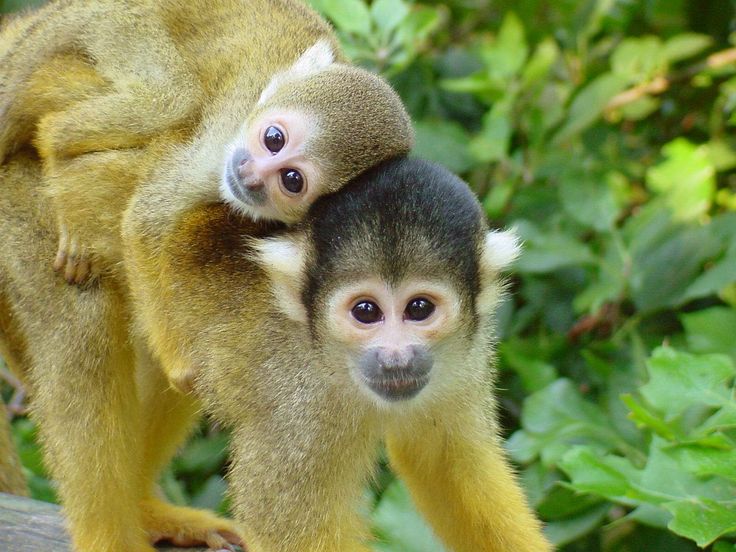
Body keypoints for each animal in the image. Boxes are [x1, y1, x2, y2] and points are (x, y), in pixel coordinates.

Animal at [0, 0, 414, 284]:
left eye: (292, 180)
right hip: (123, 24)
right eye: (273, 138)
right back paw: (55, 141)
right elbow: (147, 220)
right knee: (171, 100)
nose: (248, 173)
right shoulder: (224, 135)